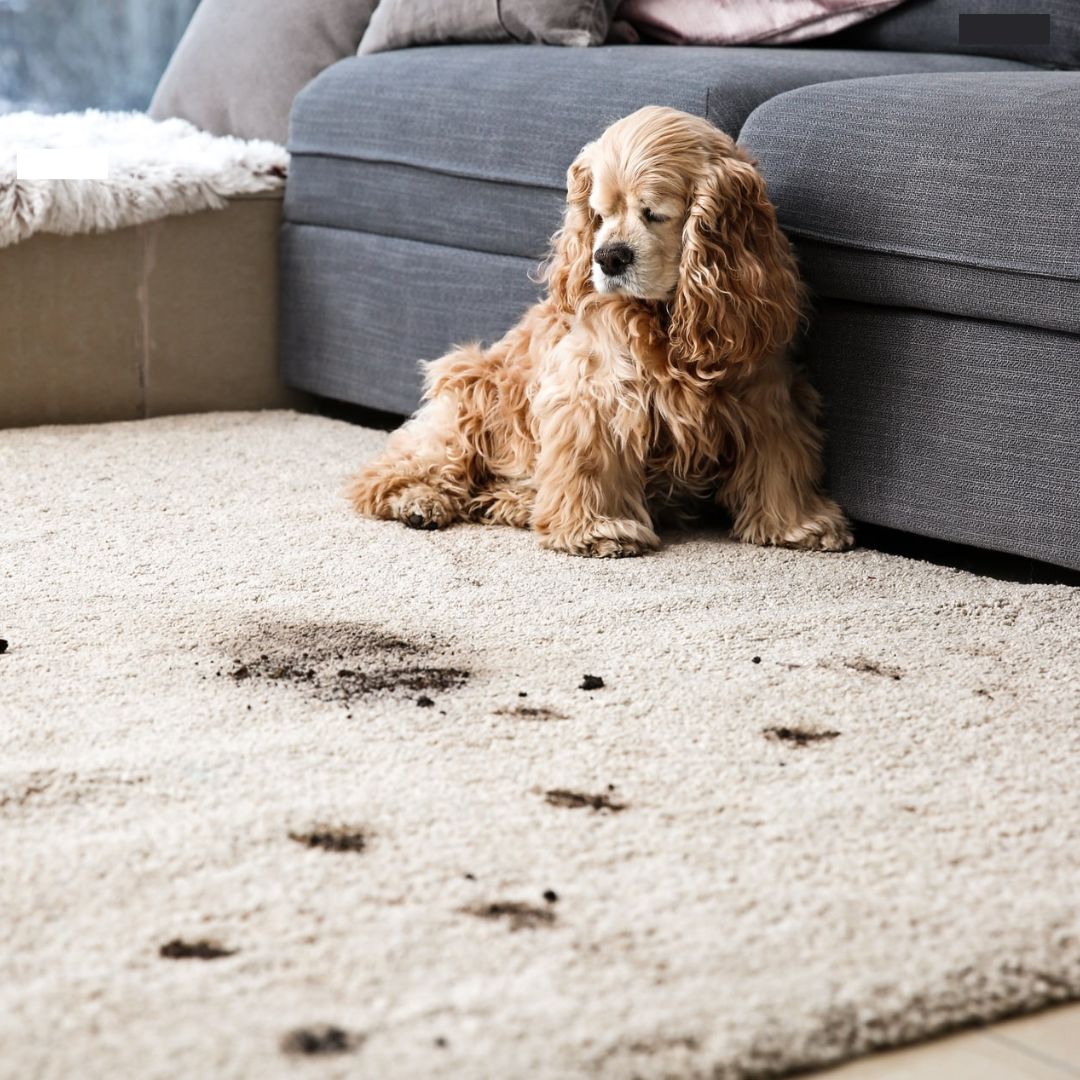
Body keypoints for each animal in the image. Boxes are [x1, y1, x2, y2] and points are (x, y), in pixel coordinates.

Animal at [350, 106, 852, 558]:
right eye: (599, 213)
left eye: (654, 213)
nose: (608, 257)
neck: (666, 319)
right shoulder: (593, 393)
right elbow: (590, 462)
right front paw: (598, 530)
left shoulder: (767, 394)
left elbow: (779, 463)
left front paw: (798, 525)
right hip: (469, 394)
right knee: (394, 469)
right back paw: (418, 500)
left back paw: (516, 503)